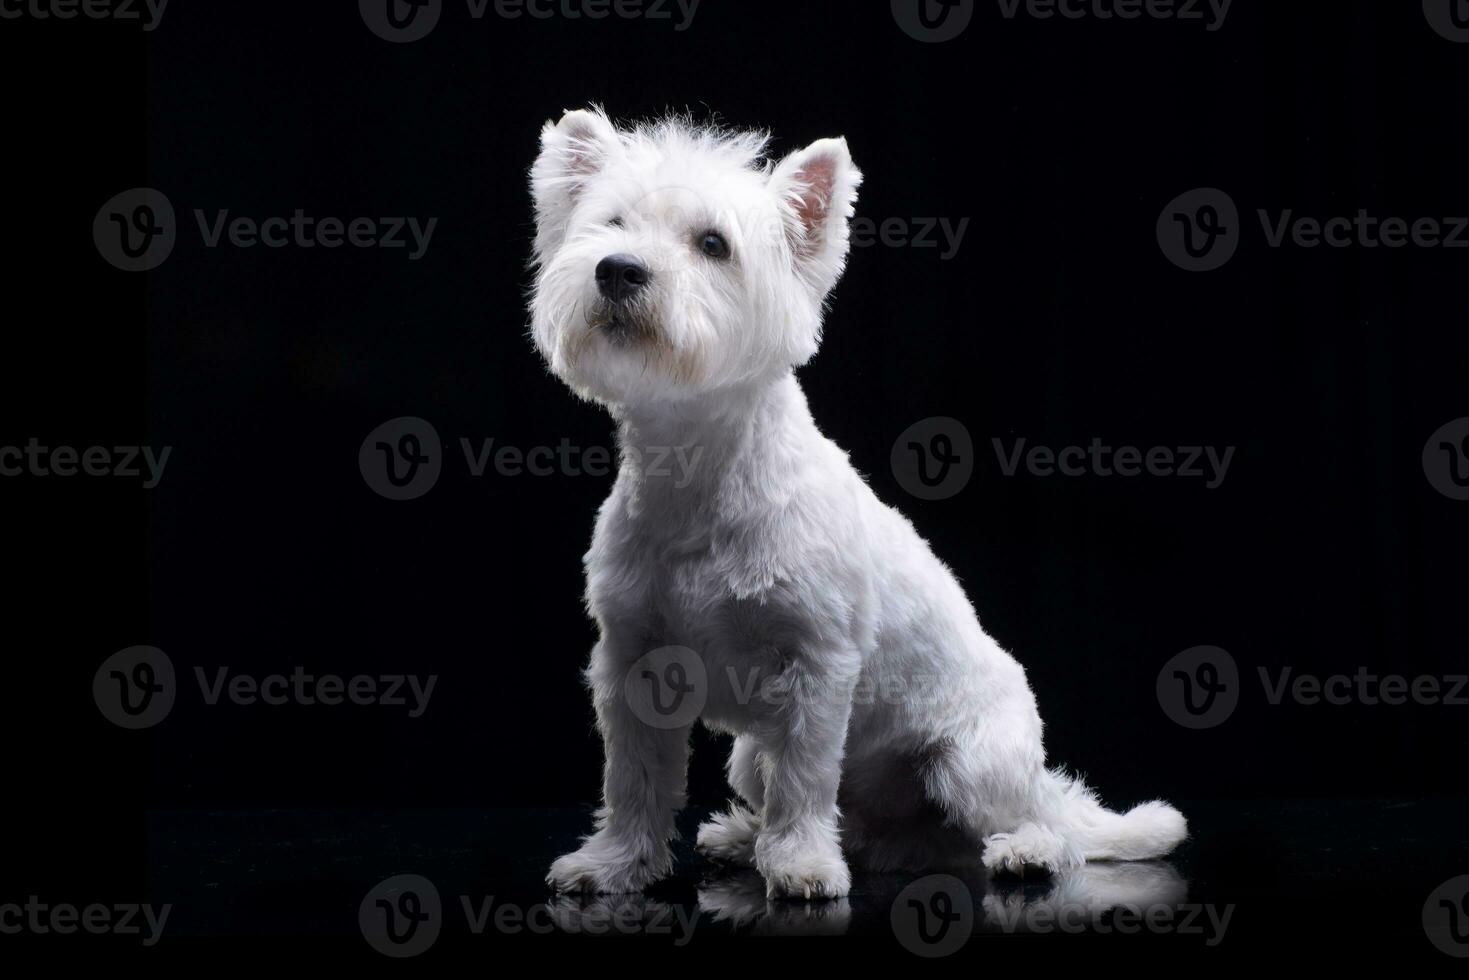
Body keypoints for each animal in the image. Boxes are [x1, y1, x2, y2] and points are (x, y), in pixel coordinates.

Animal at [528, 109, 1181, 905]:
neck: (698, 472)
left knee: (1034, 827)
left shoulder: (816, 664)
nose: (616, 269)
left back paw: (1022, 852)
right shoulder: (632, 661)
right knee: (858, 826)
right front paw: (614, 862)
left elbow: (806, 776)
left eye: (712, 244)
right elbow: (634, 778)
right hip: (748, 755)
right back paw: (744, 838)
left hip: (973, 761)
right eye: (611, 223)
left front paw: (803, 865)